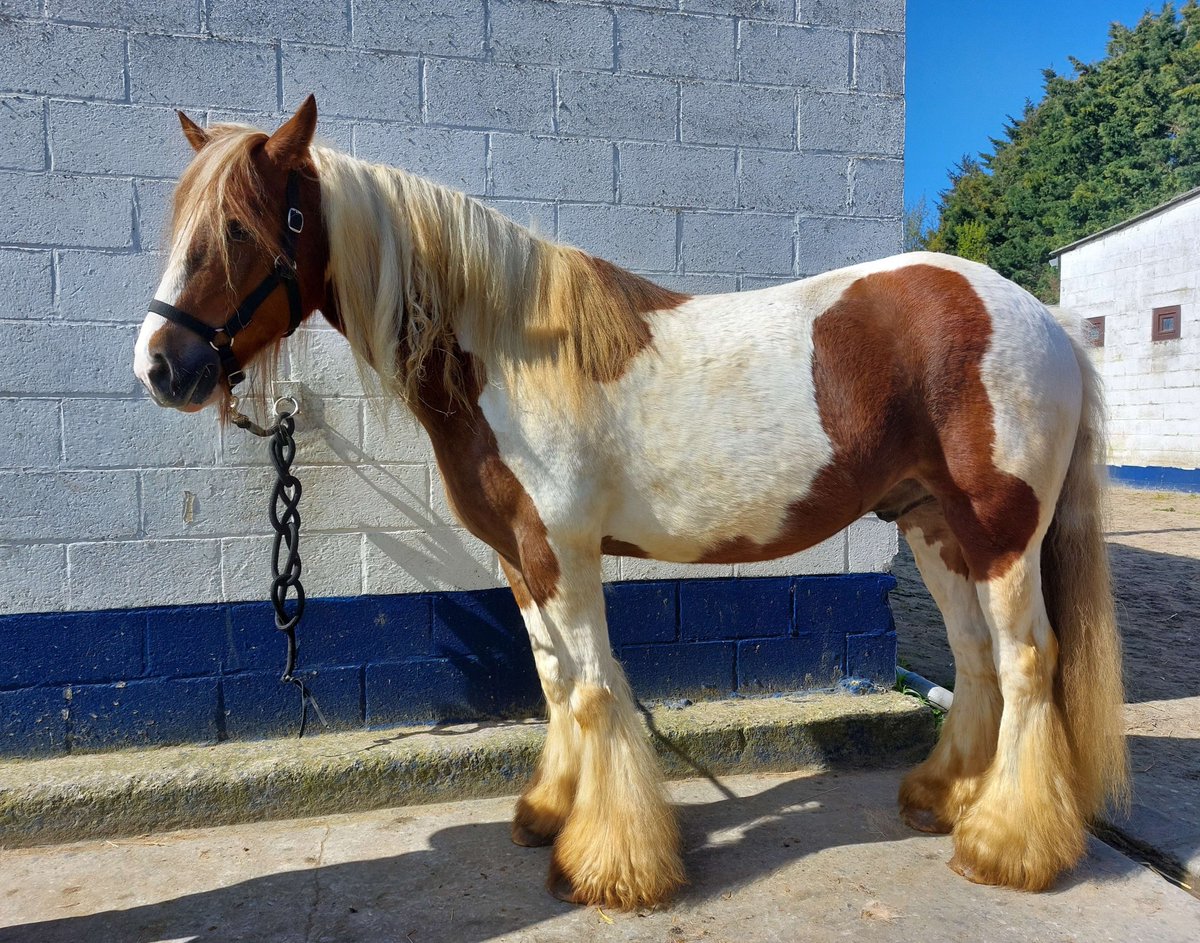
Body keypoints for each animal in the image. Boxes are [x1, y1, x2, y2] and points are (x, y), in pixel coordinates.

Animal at [133, 97, 1128, 908]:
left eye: (240, 228)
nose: (160, 366)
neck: (508, 353)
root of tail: (1044, 320)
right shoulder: (517, 558)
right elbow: (553, 680)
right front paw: (550, 810)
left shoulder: (561, 552)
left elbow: (593, 691)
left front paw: (607, 865)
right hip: (934, 527)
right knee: (977, 658)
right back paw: (945, 799)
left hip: (1000, 533)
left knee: (1027, 660)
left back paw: (1007, 847)